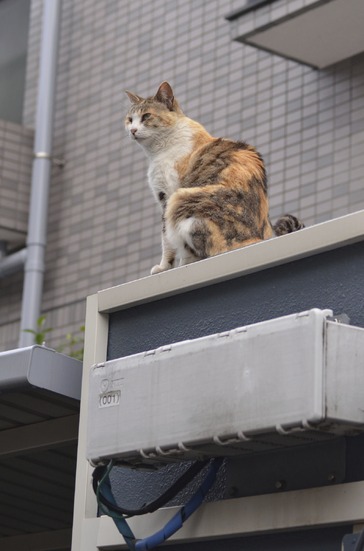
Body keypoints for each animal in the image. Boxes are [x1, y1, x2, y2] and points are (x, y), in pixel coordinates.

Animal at [125, 82, 304, 276]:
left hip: (181, 200)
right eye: (129, 119)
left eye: (146, 116)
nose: (133, 130)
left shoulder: (168, 195)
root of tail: (262, 238)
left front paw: (165, 267)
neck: (159, 149)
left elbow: (167, 239)